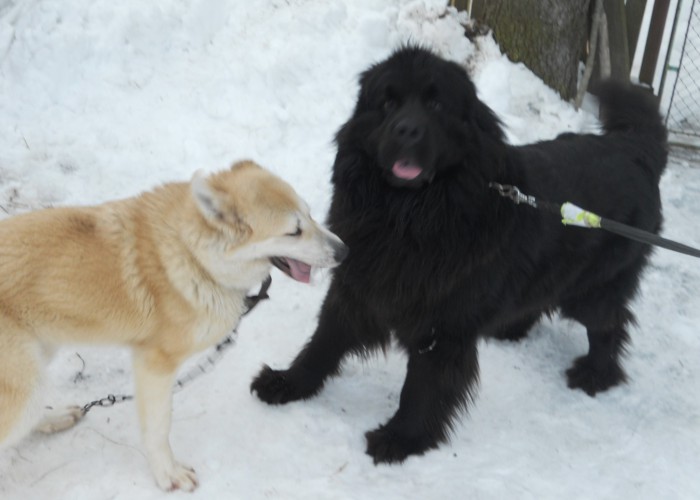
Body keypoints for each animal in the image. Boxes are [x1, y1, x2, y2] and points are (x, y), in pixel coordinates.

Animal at [0, 161, 348, 492]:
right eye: (294, 232)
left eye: (310, 214)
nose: (344, 251)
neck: (192, 254)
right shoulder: (155, 366)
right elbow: (158, 429)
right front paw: (167, 474)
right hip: (27, 384)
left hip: (40, 356)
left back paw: (52, 417)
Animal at [252, 47, 668, 464]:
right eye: (388, 103)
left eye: (436, 104)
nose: (406, 130)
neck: (408, 215)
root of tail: (631, 147)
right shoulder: (357, 285)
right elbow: (323, 342)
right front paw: (288, 382)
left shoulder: (444, 325)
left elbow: (421, 386)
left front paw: (402, 438)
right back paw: (511, 329)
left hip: (593, 288)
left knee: (610, 322)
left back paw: (595, 374)